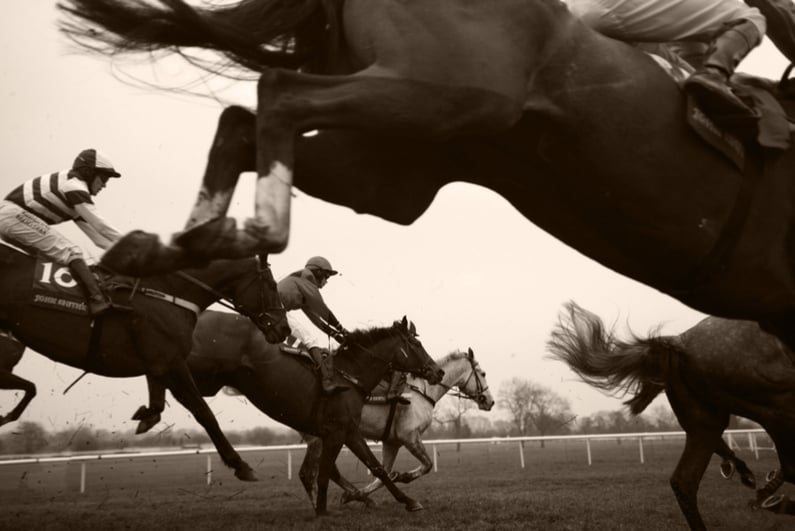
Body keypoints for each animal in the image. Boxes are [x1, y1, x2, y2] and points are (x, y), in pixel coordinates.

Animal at [0, 241, 290, 482]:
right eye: (272, 286)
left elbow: (159, 401)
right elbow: (203, 412)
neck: (168, 292)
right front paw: (241, 465)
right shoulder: (171, 360)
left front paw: (145, 415)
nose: (284, 328)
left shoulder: (159, 362)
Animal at [59, 1, 795, 358]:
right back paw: (246, 233)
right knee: (277, 92)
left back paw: (170, 246)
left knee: (244, 119)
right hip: (450, 94)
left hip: (395, 168)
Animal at [298, 350, 494, 508]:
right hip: (321, 438)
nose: (490, 401)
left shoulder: (392, 443)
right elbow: (426, 465)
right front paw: (402, 477)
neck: (421, 392)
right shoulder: (410, 437)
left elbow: (382, 474)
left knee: (329, 471)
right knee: (309, 474)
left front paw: (355, 494)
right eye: (483, 373)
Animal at [548, 304, 795, 531]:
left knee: (684, 481)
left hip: (706, 423)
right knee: (789, 467)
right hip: (776, 404)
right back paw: (771, 497)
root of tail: (679, 342)